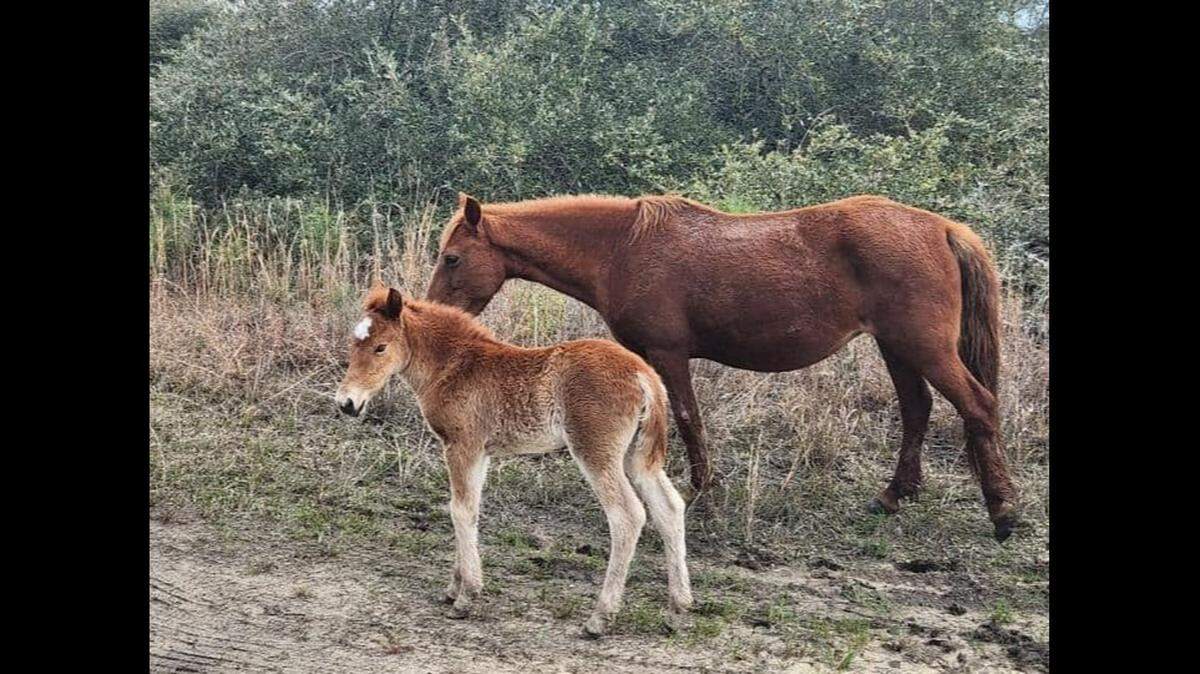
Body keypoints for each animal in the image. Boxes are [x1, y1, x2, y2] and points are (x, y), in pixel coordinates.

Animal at [335, 283, 693, 637]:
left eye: (381, 347)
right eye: (353, 343)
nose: (346, 403)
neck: (453, 366)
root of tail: (643, 374)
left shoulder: (461, 446)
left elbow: (459, 510)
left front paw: (466, 597)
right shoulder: (480, 453)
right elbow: (470, 509)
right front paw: (454, 587)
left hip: (596, 450)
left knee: (627, 516)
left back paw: (599, 618)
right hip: (638, 456)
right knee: (670, 508)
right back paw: (677, 611)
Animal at [425, 192, 1020, 541]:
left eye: (452, 258)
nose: (428, 312)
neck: (622, 247)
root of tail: (942, 228)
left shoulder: (667, 356)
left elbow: (688, 420)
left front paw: (706, 497)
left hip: (924, 348)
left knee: (977, 406)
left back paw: (1003, 512)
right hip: (899, 349)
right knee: (917, 409)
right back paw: (894, 495)